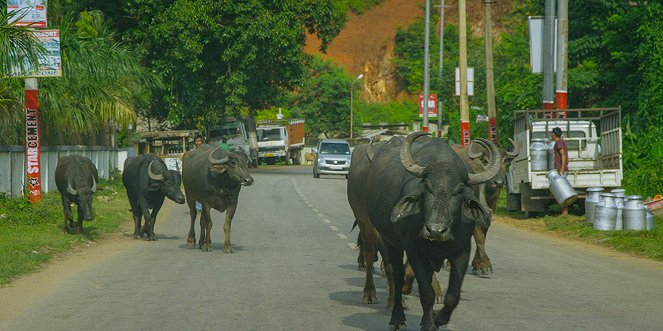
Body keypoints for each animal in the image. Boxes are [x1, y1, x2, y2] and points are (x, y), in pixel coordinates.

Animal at [350, 133, 500, 331]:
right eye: (426, 188)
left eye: (459, 191)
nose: (435, 230)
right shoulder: (414, 251)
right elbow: (425, 291)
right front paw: (428, 324)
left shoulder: (461, 251)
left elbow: (453, 294)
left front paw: (437, 317)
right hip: (376, 232)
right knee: (388, 269)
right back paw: (389, 310)